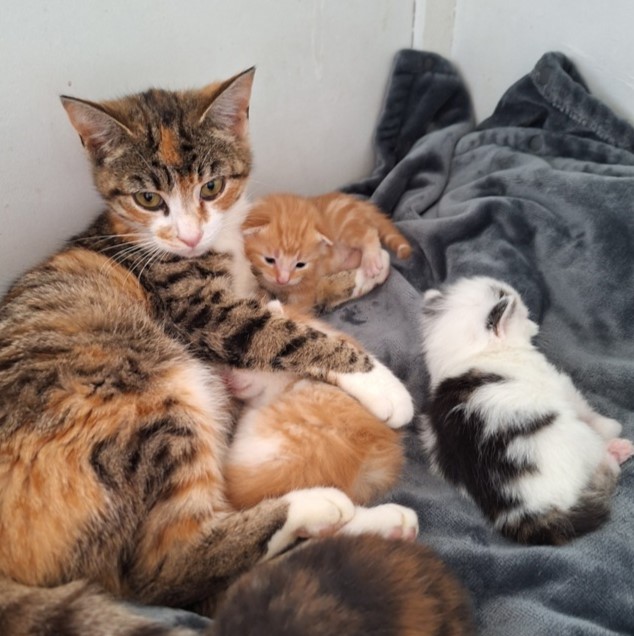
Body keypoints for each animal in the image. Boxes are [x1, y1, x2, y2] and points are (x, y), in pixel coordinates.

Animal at [241, 193, 410, 314]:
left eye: (300, 264)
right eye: (269, 260)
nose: (282, 279)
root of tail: (359, 203)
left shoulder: (308, 287)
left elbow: (298, 309)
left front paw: (277, 309)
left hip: (345, 223)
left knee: (369, 233)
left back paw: (372, 261)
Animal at [418, 276, 628, 544]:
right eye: (524, 316)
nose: (535, 324)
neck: (471, 355)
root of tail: (521, 509)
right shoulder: (558, 384)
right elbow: (585, 408)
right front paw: (612, 426)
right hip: (577, 437)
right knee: (604, 464)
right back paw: (618, 451)